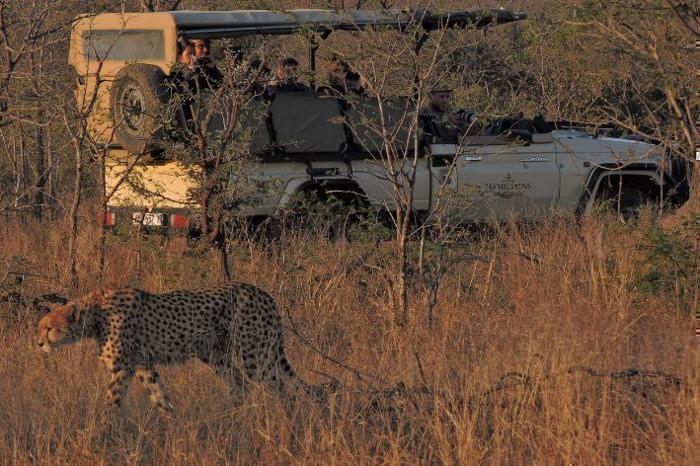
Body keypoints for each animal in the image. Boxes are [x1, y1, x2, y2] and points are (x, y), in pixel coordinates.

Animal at [36, 282, 298, 414]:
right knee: (240, 384)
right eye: (41, 328)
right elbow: (160, 396)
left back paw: (289, 421)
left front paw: (104, 429)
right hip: (215, 355)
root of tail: (262, 292)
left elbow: (112, 401)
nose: (39, 343)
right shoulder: (143, 365)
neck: (96, 314)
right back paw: (229, 417)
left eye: (49, 329)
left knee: (283, 388)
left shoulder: (123, 368)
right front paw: (171, 425)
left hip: (254, 354)